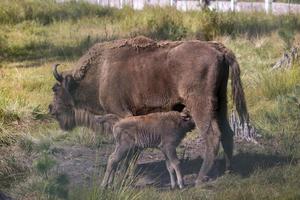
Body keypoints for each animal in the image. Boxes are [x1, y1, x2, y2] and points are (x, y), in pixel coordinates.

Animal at [49, 36, 248, 184]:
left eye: (55, 89)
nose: (51, 109)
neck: (101, 72)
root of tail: (219, 49)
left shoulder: (122, 114)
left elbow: (127, 151)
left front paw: (124, 175)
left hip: (201, 105)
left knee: (212, 136)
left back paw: (200, 178)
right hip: (221, 102)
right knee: (227, 132)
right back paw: (228, 170)